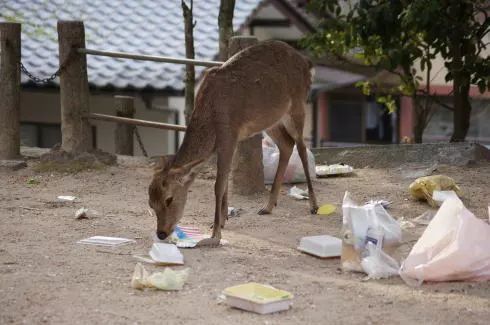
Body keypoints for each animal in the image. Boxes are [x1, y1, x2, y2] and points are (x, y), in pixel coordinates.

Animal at [147, 39, 320, 244]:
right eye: (151, 203)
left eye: (169, 199)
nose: (161, 233)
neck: (211, 117)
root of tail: (307, 63)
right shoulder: (231, 140)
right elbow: (226, 179)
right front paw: (222, 221)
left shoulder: (228, 135)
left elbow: (218, 185)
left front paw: (215, 233)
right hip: (271, 119)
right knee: (286, 144)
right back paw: (267, 206)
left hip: (297, 106)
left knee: (301, 146)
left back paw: (314, 205)